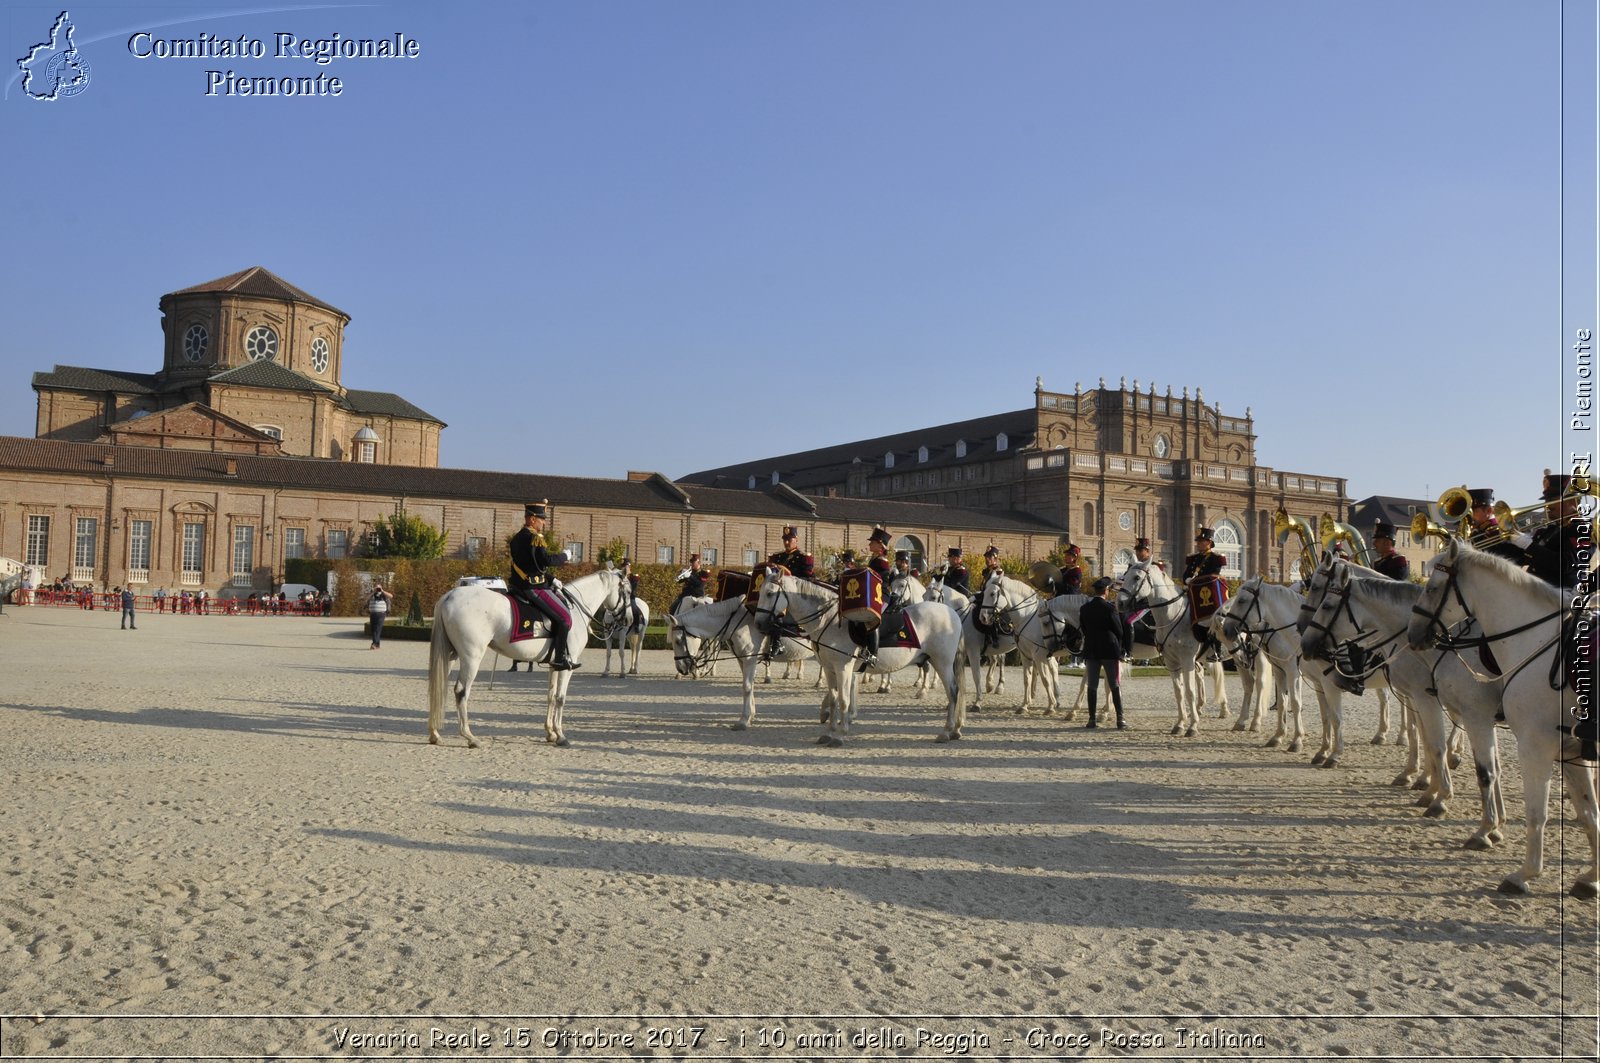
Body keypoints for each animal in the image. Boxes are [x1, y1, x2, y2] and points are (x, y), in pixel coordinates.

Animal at [428, 573, 620, 746]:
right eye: (625, 589)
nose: (620, 619)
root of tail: (449, 596)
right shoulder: (567, 667)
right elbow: (560, 698)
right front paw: (560, 735)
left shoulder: (555, 665)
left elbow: (551, 696)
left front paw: (550, 733)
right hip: (471, 657)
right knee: (461, 691)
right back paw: (470, 737)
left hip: (450, 655)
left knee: (438, 686)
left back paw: (435, 734)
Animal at [748, 576, 960, 742]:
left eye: (769, 593)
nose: (758, 624)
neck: (830, 621)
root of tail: (951, 613)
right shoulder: (829, 668)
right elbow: (834, 698)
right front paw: (829, 732)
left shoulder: (843, 667)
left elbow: (843, 699)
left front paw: (840, 734)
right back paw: (954, 730)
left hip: (942, 662)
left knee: (952, 692)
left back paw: (946, 731)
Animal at [1120, 557, 1203, 739]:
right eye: (1125, 575)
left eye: (1137, 577)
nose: (1120, 602)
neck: (1173, 615)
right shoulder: (1172, 661)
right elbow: (1179, 692)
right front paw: (1180, 724)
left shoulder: (1187, 660)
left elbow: (1189, 691)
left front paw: (1193, 726)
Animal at [1299, 563, 1510, 845]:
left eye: (1324, 598)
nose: (1304, 636)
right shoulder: (1419, 698)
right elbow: (1420, 737)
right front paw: (1423, 782)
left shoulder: (1430, 698)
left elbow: (1435, 745)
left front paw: (1439, 796)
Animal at [1408, 541, 1593, 896]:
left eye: (1433, 587)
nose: (1414, 634)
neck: (1537, 643)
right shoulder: (1573, 752)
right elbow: (1590, 812)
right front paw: (1592, 878)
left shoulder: (1533, 745)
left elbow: (1534, 811)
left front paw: (1523, 872)